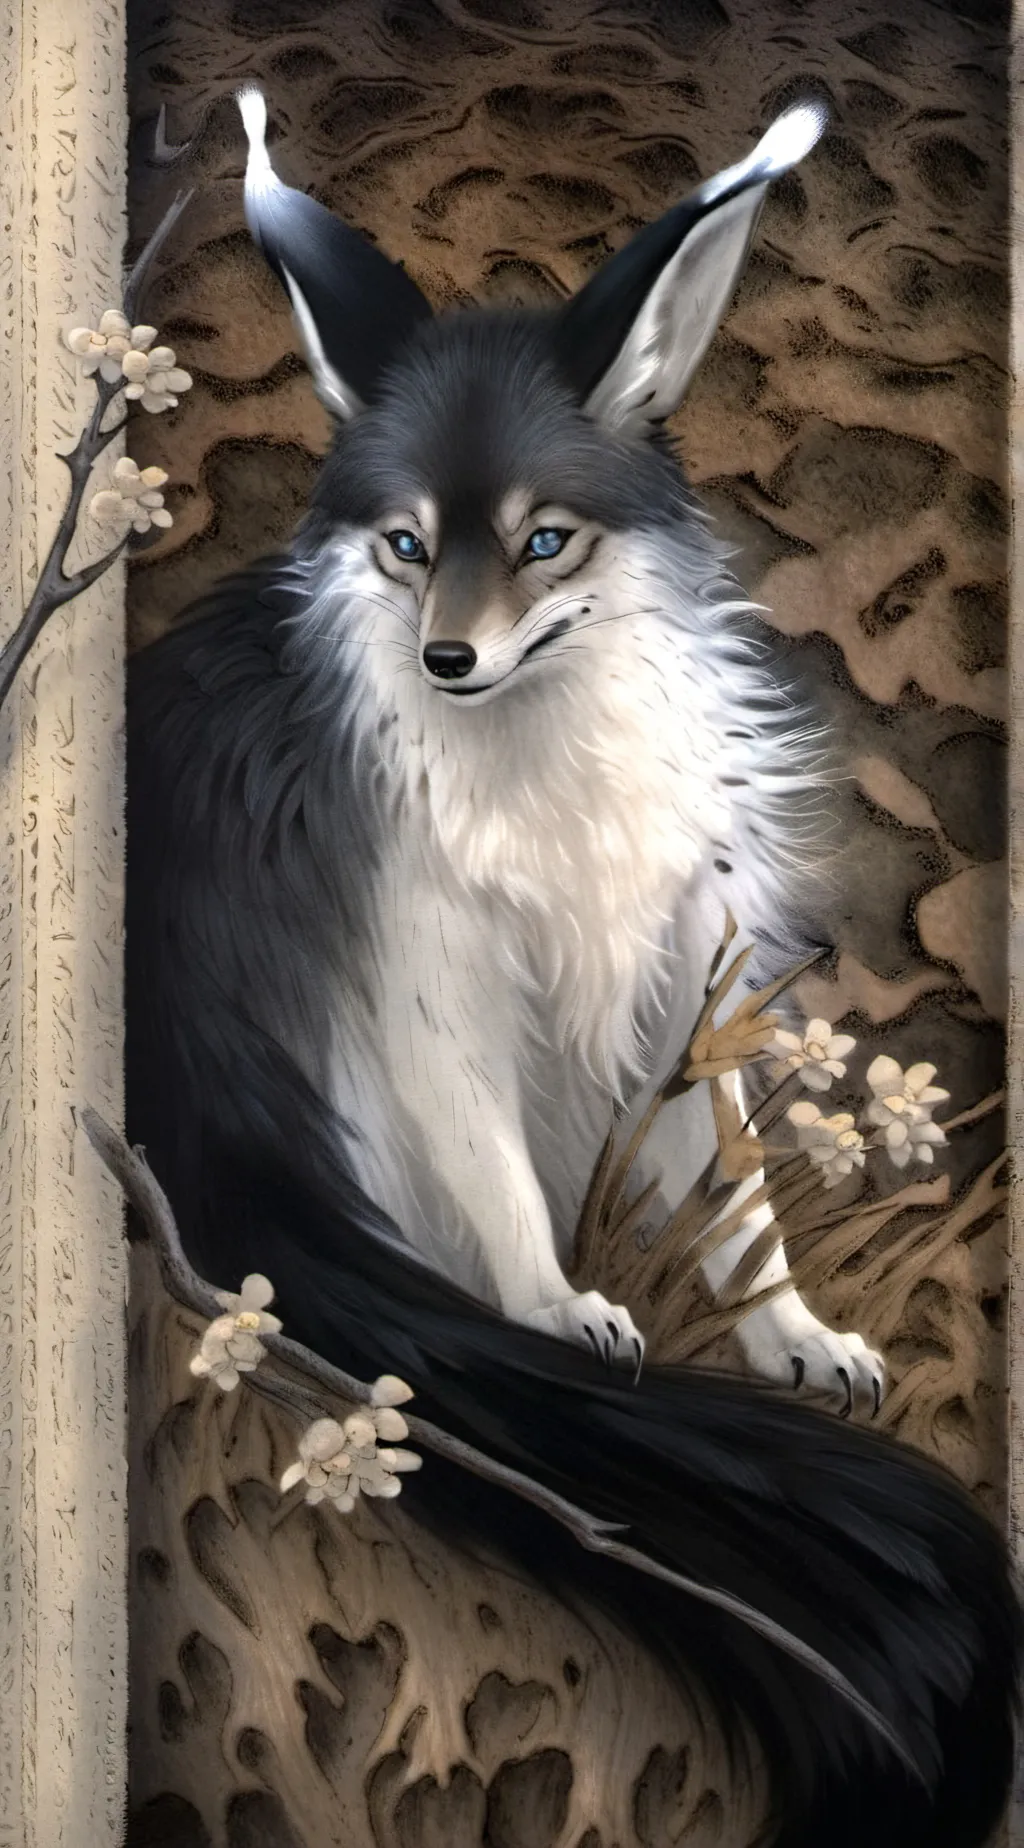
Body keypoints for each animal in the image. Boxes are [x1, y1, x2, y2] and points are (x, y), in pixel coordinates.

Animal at [126, 86, 1022, 1848]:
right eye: (407, 547)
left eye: (544, 539)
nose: (447, 657)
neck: (537, 750)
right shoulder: (419, 975)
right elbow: (490, 1162)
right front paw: (552, 1309)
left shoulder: (683, 956)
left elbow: (739, 1193)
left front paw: (793, 1337)